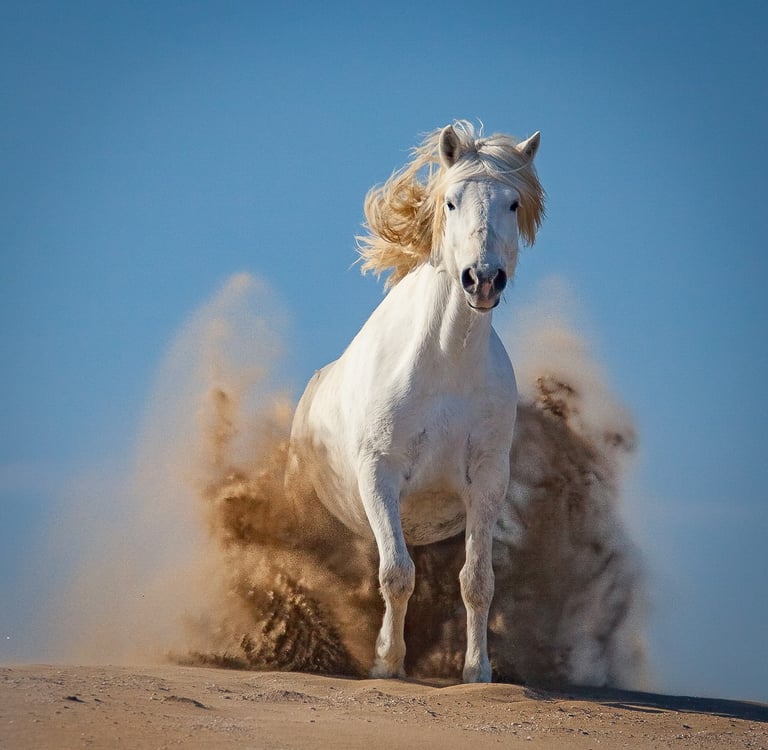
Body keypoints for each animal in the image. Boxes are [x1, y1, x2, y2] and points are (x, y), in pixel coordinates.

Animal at [285, 121, 544, 682]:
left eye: (513, 203)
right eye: (450, 201)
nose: (483, 279)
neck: (444, 368)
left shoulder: (487, 482)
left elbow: (477, 581)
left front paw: (477, 672)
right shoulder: (379, 473)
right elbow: (396, 574)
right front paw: (387, 663)